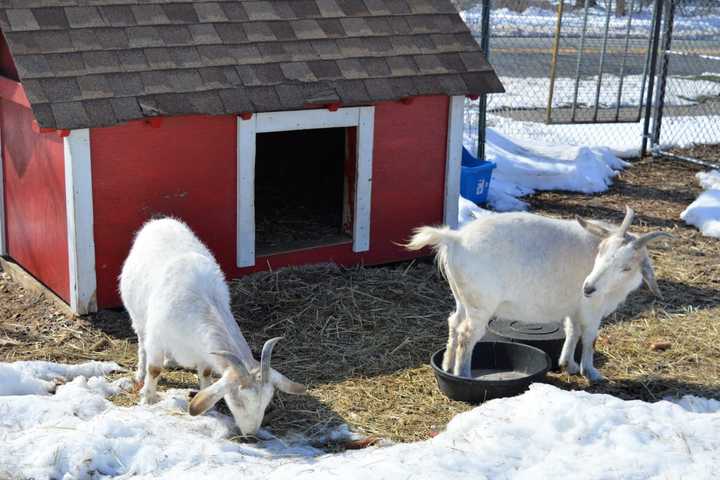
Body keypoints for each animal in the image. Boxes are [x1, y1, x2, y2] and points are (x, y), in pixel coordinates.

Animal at [119, 218, 306, 436]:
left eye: (266, 402)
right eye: (238, 401)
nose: (251, 434)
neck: (197, 302)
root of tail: (160, 221)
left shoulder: (203, 352)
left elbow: (206, 372)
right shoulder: (157, 338)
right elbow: (155, 369)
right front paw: (148, 398)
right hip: (138, 317)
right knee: (142, 344)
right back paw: (140, 373)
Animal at [408, 206, 672, 382]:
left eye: (626, 266)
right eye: (600, 251)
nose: (588, 287)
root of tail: (455, 239)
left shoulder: (574, 306)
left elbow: (572, 331)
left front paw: (568, 364)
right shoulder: (591, 307)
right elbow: (589, 337)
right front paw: (591, 372)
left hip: (463, 297)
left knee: (453, 323)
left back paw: (447, 365)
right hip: (481, 303)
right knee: (466, 334)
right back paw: (463, 374)